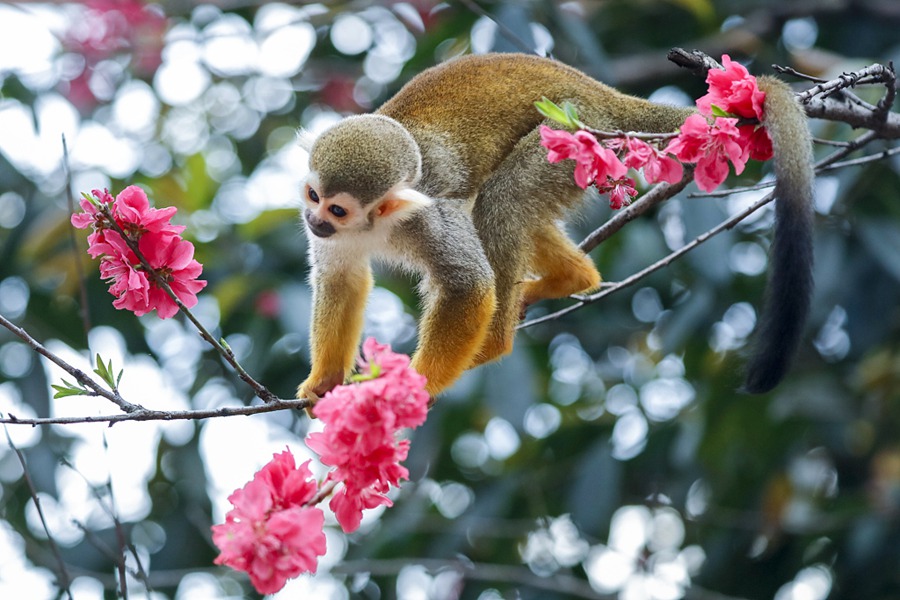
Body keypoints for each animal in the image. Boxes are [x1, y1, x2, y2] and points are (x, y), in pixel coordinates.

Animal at [298, 54, 816, 404]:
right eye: (312, 196)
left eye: (338, 209)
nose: (315, 222)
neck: (375, 223)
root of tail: (604, 94)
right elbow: (341, 279)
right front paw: (323, 382)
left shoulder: (426, 218)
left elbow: (469, 285)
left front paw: (416, 385)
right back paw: (574, 278)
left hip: (576, 133)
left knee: (501, 203)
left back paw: (493, 343)